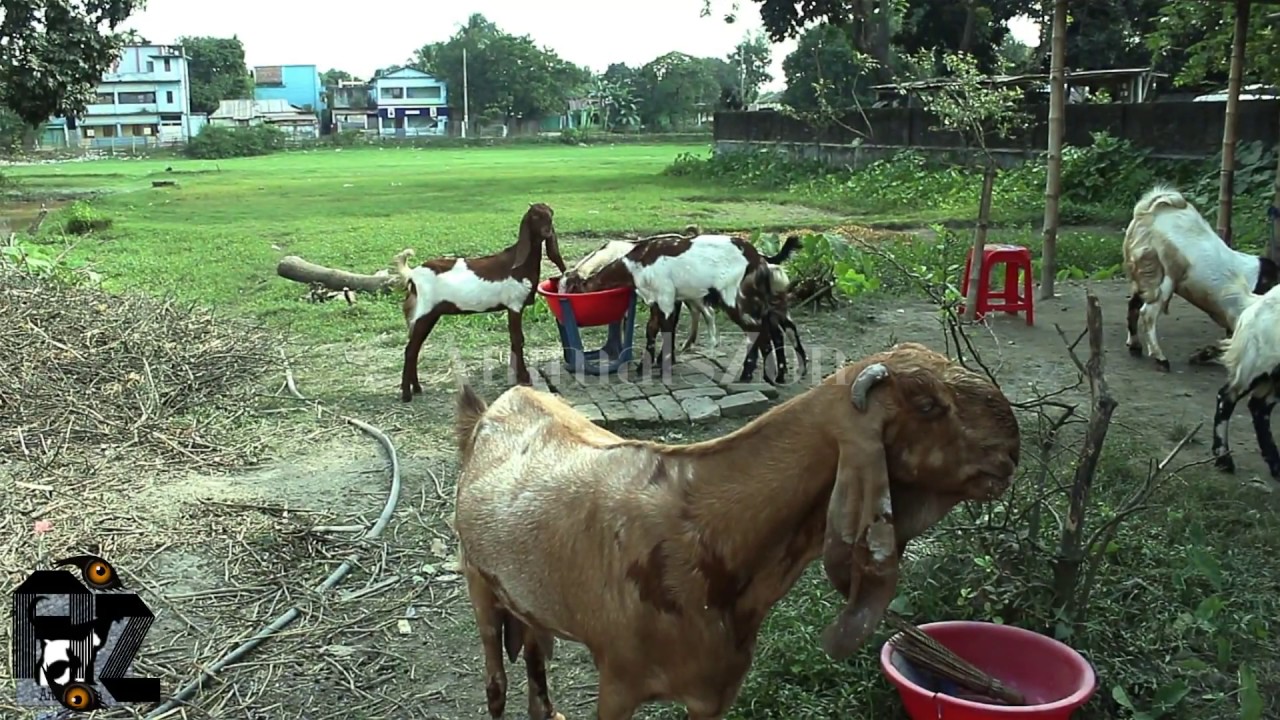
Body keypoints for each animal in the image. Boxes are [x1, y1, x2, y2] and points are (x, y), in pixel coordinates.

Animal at [395, 203, 566, 402]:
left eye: (551, 214)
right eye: (535, 216)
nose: (547, 231)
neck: (519, 265)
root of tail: (412, 275)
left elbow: (515, 340)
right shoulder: (514, 305)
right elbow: (518, 340)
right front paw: (524, 378)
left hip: (429, 314)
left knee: (415, 349)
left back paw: (416, 388)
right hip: (425, 312)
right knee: (410, 349)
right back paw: (407, 394)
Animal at [452, 341, 1021, 720]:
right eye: (928, 404)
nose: (1009, 453)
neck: (710, 528)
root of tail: (489, 410)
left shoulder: (713, 690)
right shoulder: (618, 679)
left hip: (527, 598)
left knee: (533, 653)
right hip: (478, 582)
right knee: (495, 680)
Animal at [1124, 185, 1279, 371]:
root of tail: (1148, 211)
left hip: (1144, 275)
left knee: (1134, 305)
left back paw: (1135, 346)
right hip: (1164, 276)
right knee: (1148, 313)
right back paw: (1161, 359)